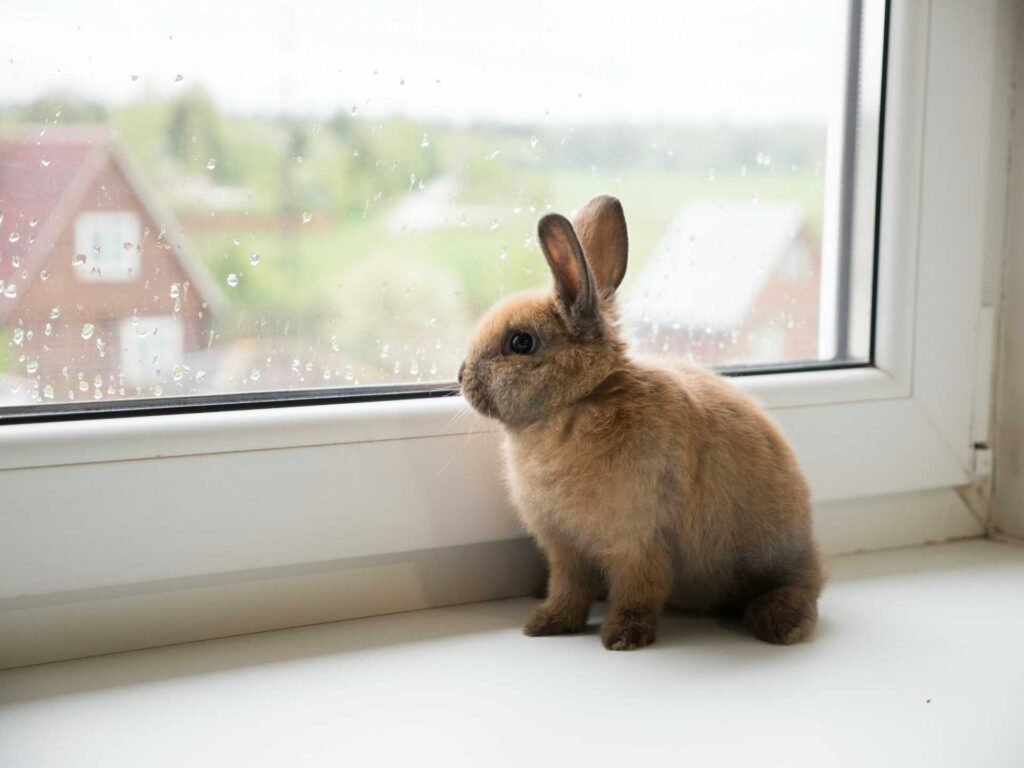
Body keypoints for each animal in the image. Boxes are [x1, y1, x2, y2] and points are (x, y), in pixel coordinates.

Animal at [458, 195, 824, 650]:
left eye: (521, 342)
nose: (460, 376)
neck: (579, 401)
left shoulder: (638, 542)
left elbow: (639, 590)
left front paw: (623, 637)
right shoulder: (565, 550)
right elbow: (568, 589)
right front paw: (546, 624)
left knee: (801, 588)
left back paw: (781, 624)